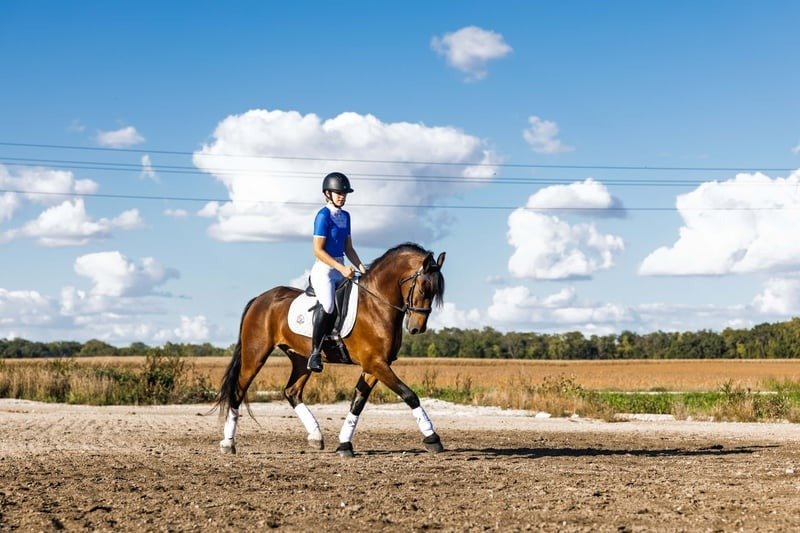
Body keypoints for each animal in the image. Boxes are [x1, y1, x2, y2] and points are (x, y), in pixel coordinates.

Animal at [214, 242, 446, 457]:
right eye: (424, 288)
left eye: (435, 292)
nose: (417, 328)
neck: (376, 304)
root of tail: (260, 299)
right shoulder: (375, 363)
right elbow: (409, 395)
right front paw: (433, 438)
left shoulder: (375, 365)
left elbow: (357, 403)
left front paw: (344, 444)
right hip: (255, 355)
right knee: (238, 390)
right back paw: (228, 443)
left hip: (301, 360)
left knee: (292, 392)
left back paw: (316, 436)